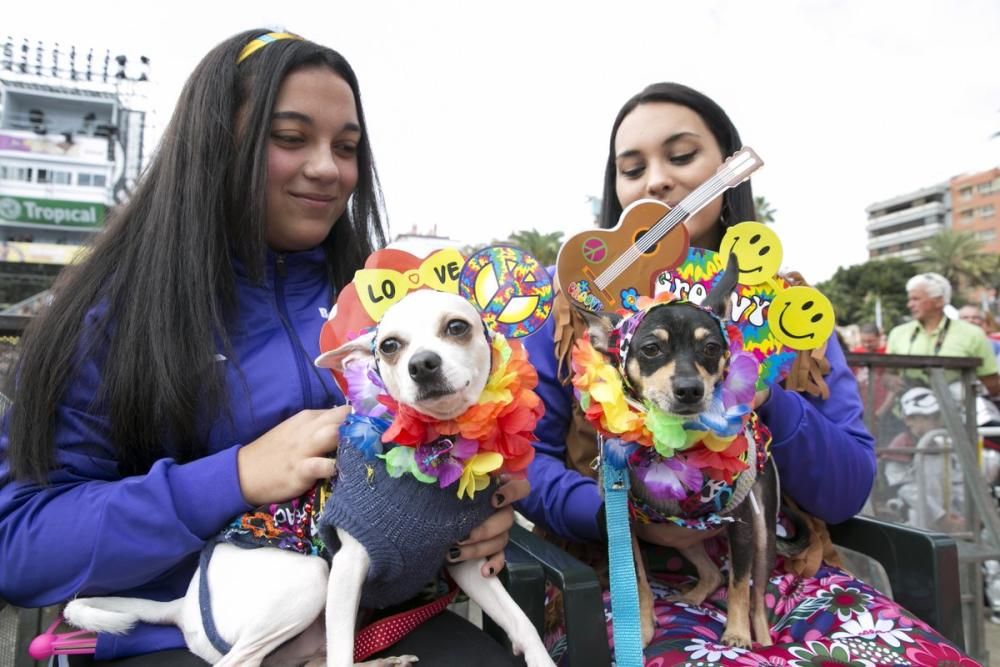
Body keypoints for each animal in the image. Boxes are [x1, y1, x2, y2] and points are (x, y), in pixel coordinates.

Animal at [65, 290, 556, 667]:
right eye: (389, 346)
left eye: (457, 327)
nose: (422, 364)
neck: (434, 453)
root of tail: (182, 609)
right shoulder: (347, 568)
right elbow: (340, 655)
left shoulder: (469, 565)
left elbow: (522, 623)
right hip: (311, 580)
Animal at [584, 258, 780, 652]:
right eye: (651, 350)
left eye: (711, 348)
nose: (690, 389)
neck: (676, 448)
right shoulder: (625, 529)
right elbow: (638, 584)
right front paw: (641, 630)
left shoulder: (742, 525)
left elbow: (740, 585)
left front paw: (736, 632)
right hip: (672, 534)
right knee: (712, 573)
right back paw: (693, 595)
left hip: (763, 533)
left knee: (756, 596)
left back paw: (763, 639)